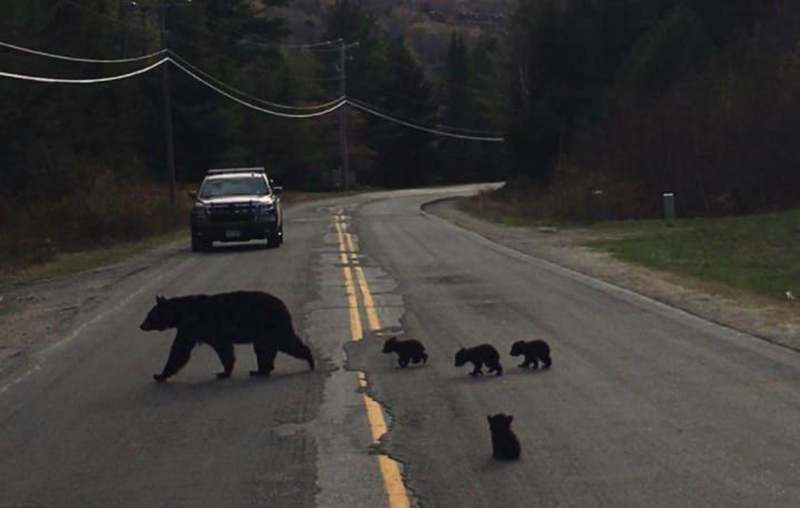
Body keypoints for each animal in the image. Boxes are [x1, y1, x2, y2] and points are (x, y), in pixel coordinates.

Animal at [139, 291, 314, 382]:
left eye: (150, 315)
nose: (141, 325)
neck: (180, 313)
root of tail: (283, 305)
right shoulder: (198, 330)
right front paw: (225, 371)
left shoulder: (192, 326)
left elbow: (180, 349)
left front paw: (159, 375)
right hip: (265, 331)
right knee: (265, 349)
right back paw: (261, 370)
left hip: (272, 325)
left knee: (286, 342)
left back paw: (310, 360)